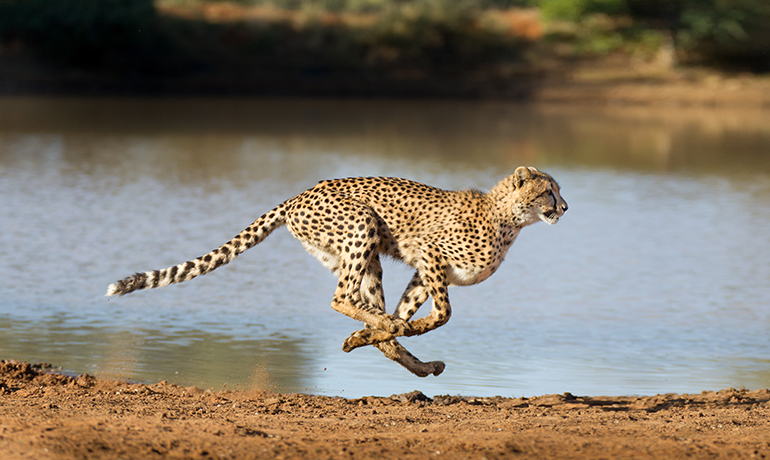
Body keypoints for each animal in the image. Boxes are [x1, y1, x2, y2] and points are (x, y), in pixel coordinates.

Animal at [106, 165, 564, 378]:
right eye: (547, 191)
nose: (564, 206)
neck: (510, 219)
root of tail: (300, 193)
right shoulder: (429, 253)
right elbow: (443, 313)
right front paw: (403, 327)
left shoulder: (425, 270)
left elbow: (411, 311)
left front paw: (383, 333)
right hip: (362, 226)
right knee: (341, 298)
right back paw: (383, 329)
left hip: (358, 255)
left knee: (362, 305)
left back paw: (393, 347)